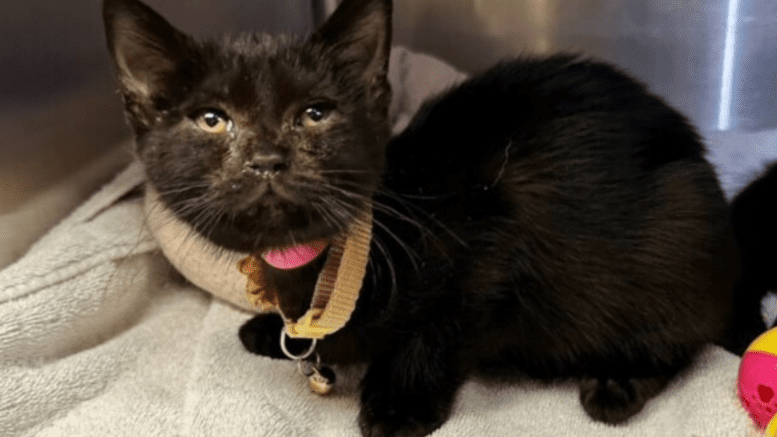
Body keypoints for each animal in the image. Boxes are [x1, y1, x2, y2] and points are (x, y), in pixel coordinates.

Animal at [103, 0, 740, 434]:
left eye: (315, 113)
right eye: (212, 120)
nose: (266, 158)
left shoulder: (487, 249)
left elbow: (435, 332)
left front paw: (397, 403)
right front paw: (272, 330)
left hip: (676, 246)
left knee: (681, 342)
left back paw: (617, 383)